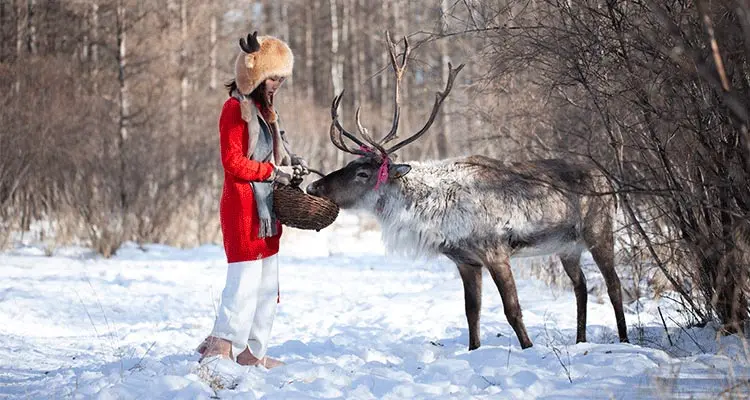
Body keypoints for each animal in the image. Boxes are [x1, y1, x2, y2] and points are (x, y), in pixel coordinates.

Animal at [306, 32, 629, 350]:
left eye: (362, 173)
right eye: (349, 163)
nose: (314, 185)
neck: (436, 214)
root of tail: (610, 183)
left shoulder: (496, 252)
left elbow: (512, 310)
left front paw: (528, 349)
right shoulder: (466, 261)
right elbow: (472, 312)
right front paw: (474, 349)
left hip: (599, 231)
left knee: (613, 285)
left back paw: (624, 339)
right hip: (567, 247)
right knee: (581, 286)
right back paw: (580, 340)